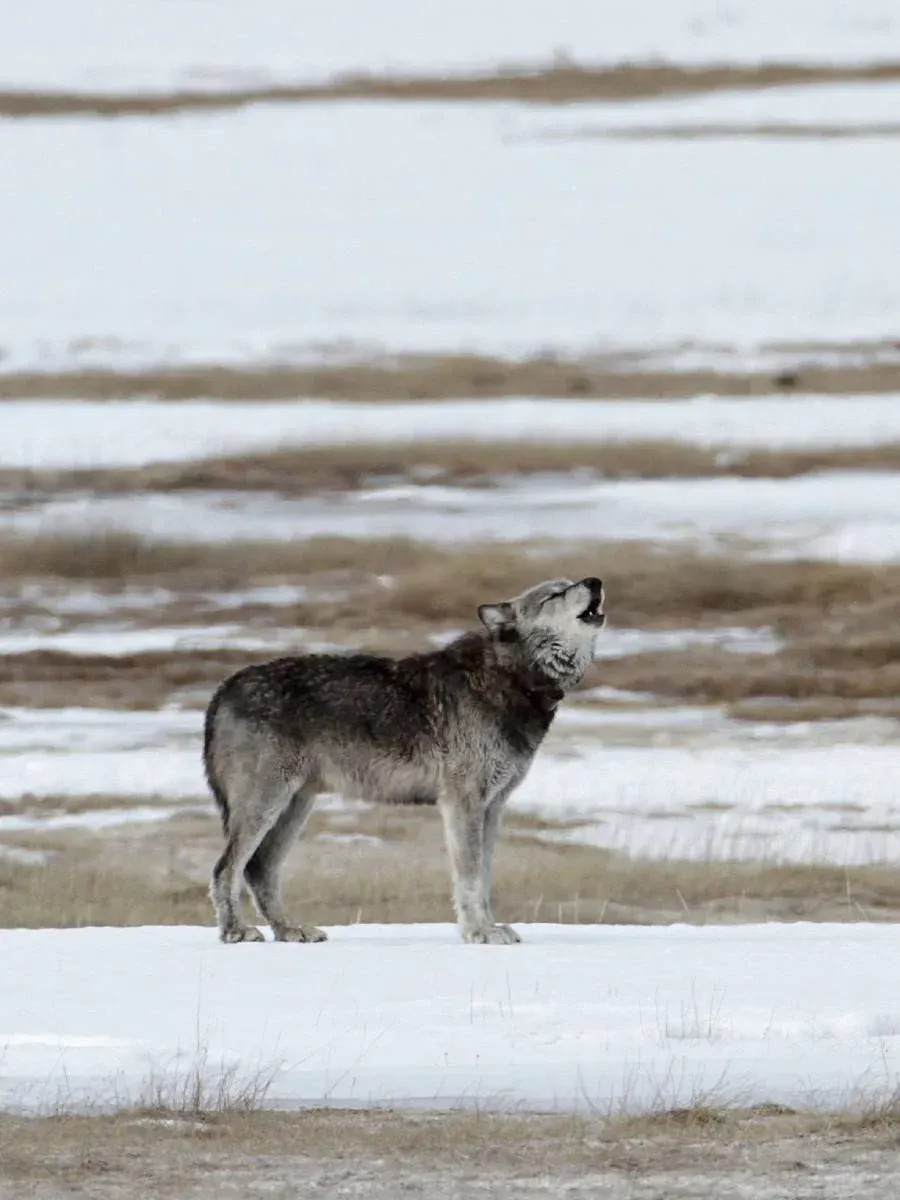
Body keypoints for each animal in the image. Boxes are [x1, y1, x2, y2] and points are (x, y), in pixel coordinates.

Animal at [204, 576, 605, 945]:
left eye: (570, 583)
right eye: (554, 594)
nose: (595, 582)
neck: (511, 677)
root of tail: (223, 687)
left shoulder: (493, 807)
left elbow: (485, 878)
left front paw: (490, 928)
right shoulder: (464, 804)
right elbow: (470, 879)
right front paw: (479, 933)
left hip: (295, 807)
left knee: (259, 870)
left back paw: (290, 930)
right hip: (265, 806)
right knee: (226, 869)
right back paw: (236, 932)